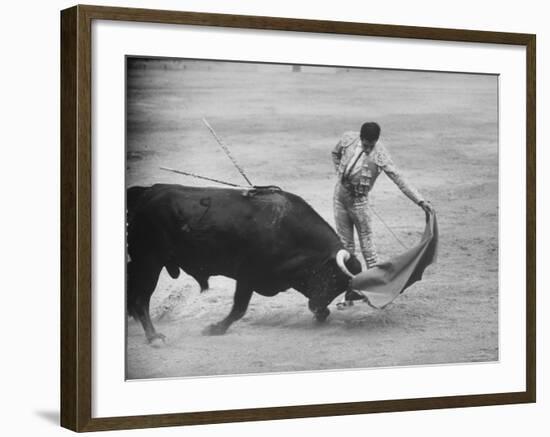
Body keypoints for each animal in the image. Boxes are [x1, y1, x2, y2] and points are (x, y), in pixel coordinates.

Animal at [127, 183, 364, 340]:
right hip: (149, 261)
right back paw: (154, 337)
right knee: (141, 299)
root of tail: (148, 193)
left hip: (140, 262)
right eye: (333, 275)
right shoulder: (247, 275)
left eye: (342, 286)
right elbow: (239, 309)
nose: (316, 306)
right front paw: (215, 329)